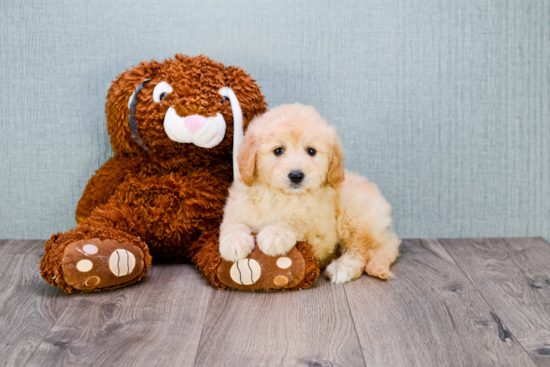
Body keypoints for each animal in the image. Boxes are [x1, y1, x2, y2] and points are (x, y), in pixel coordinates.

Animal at [219, 103, 402, 284]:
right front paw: (234, 242)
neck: (282, 196)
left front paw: (275, 234)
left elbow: (298, 222)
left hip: (354, 213)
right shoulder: (238, 207)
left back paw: (342, 268)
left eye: (311, 151)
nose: (296, 175)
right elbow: (233, 224)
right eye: (278, 151)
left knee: (361, 250)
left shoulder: (321, 233)